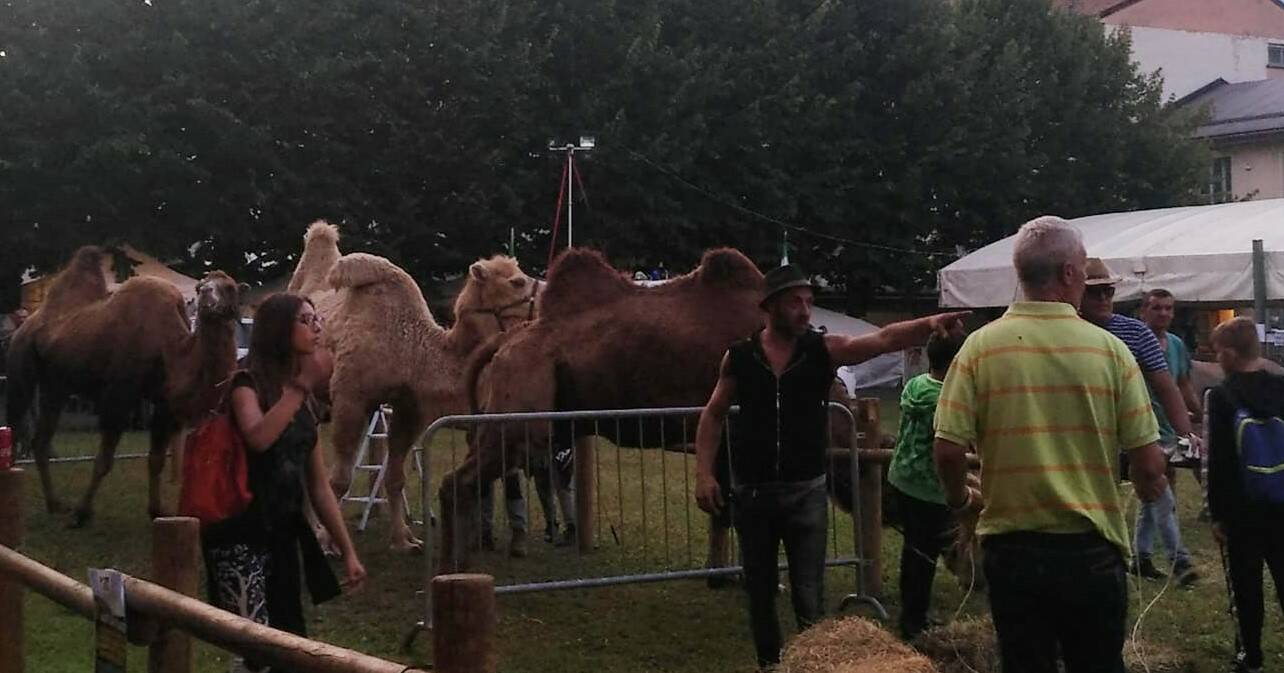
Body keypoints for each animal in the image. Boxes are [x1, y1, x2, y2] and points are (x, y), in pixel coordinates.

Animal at [5, 246, 242, 526]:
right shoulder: (118, 397)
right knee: (16, 424)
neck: (168, 349)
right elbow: (104, 460)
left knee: (40, 440)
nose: (207, 299)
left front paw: (157, 510)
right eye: (200, 287)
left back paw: (55, 504)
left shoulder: (164, 404)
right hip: (20, 366)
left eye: (230, 287)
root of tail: (28, 323)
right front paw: (81, 514)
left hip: (56, 386)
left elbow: (156, 460)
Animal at [283, 223, 539, 549]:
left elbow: (395, 477)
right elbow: (339, 480)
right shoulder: (350, 398)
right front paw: (330, 542)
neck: (414, 349)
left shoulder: (409, 407)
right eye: (517, 282)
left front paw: (404, 540)